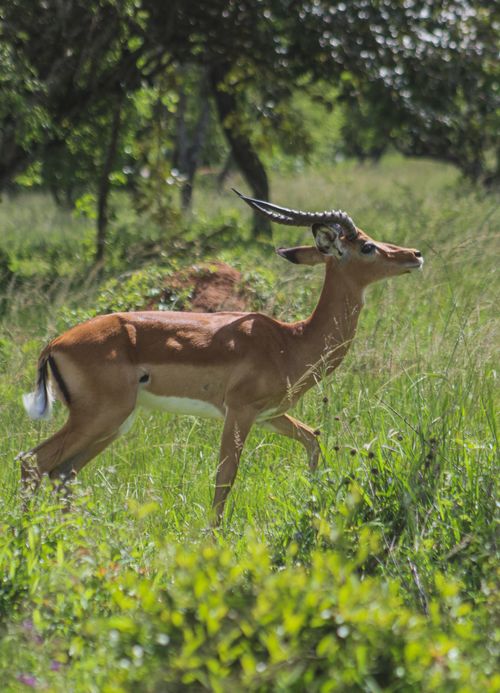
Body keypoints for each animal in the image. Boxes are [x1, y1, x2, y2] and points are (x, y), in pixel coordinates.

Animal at [19, 190, 423, 524]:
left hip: (113, 423)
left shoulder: (269, 415)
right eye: (366, 246)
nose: (415, 255)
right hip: (100, 417)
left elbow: (313, 440)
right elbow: (224, 479)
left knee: (62, 473)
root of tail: (55, 344)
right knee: (32, 462)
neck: (291, 340)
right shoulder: (239, 412)